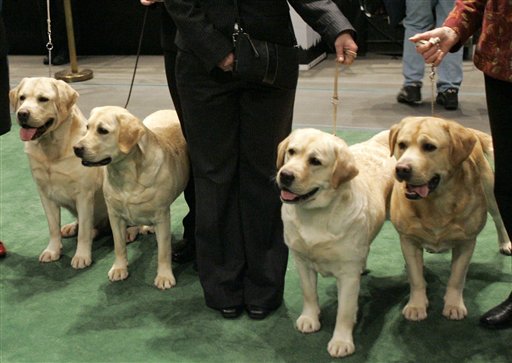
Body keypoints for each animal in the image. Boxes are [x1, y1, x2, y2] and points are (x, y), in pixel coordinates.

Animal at [9, 77, 109, 268]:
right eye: (22, 98)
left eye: (43, 99)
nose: (22, 114)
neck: (52, 149)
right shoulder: (45, 194)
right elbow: (53, 227)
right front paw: (52, 251)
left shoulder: (84, 195)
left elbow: (83, 233)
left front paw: (81, 256)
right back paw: (72, 227)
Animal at [74, 106, 188, 290]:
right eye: (87, 127)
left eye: (103, 130)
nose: (76, 148)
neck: (125, 173)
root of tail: (167, 109)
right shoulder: (115, 216)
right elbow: (119, 246)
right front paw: (119, 268)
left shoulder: (162, 216)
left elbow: (163, 252)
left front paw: (164, 277)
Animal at [278, 128, 394, 358]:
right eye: (291, 151)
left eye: (315, 161)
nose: (285, 175)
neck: (315, 215)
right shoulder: (301, 260)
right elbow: (309, 293)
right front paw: (310, 319)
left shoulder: (348, 274)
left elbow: (345, 311)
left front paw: (341, 341)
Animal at [390, 116, 510, 322]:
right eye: (402, 145)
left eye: (429, 147)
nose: (402, 169)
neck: (435, 202)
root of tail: (470, 131)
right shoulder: (408, 240)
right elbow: (416, 278)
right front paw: (416, 305)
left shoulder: (466, 242)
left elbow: (457, 277)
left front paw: (453, 305)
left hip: (491, 192)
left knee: (499, 219)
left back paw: (505, 243)